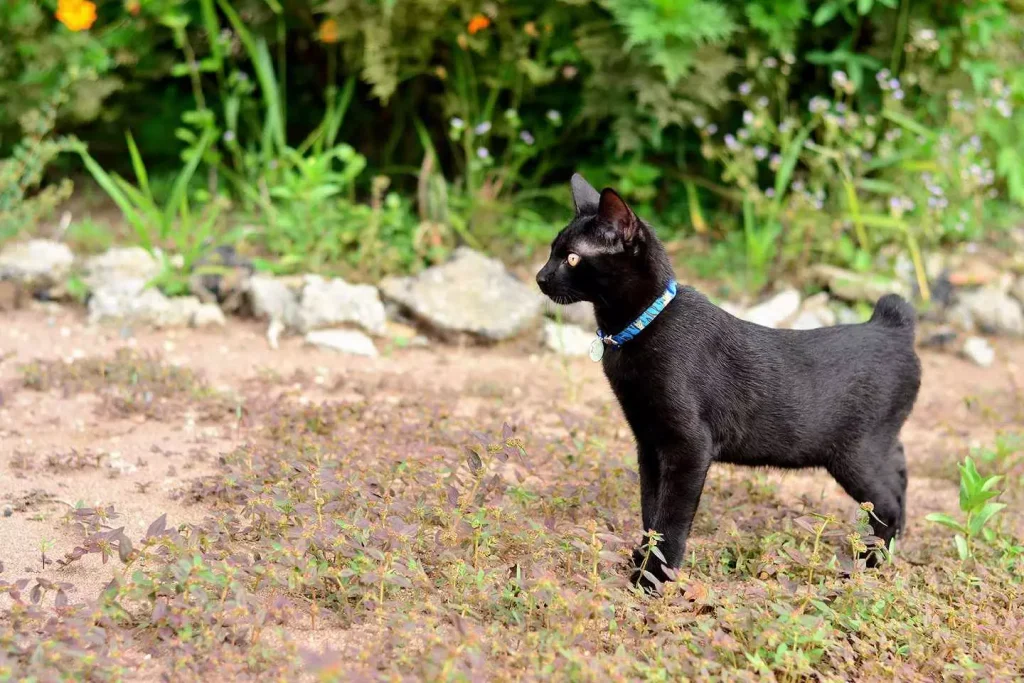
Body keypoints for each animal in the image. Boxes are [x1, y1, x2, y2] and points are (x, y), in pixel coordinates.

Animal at [536, 174, 921, 589]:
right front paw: (640, 561)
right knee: (900, 472)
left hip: (856, 453)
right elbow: (649, 510)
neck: (642, 326)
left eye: (572, 258)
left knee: (887, 504)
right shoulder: (649, 444)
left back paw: (870, 562)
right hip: (878, 445)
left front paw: (653, 579)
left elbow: (670, 519)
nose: (540, 277)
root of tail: (891, 325)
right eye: (552, 251)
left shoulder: (689, 446)